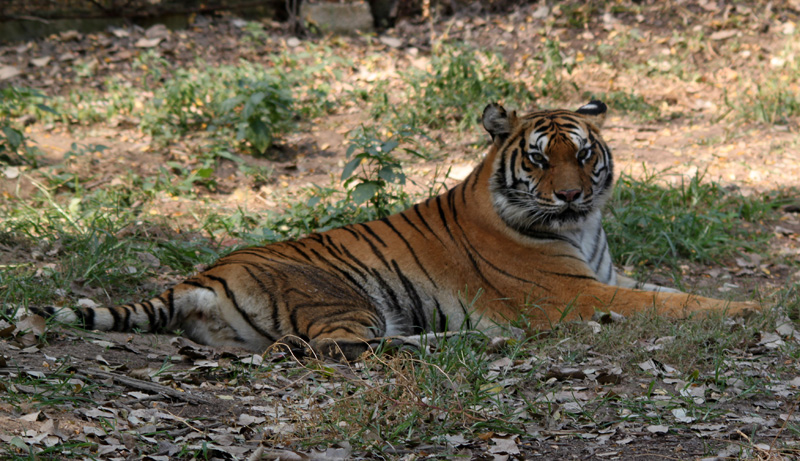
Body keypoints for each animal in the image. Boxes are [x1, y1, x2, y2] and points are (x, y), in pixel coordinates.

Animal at [28, 99, 760, 360]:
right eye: (536, 159)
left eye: (581, 154)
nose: (573, 195)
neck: (582, 229)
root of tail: (200, 275)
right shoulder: (575, 291)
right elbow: (676, 305)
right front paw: (759, 308)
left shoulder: (605, 277)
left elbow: (673, 293)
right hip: (345, 298)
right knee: (332, 349)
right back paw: (461, 344)